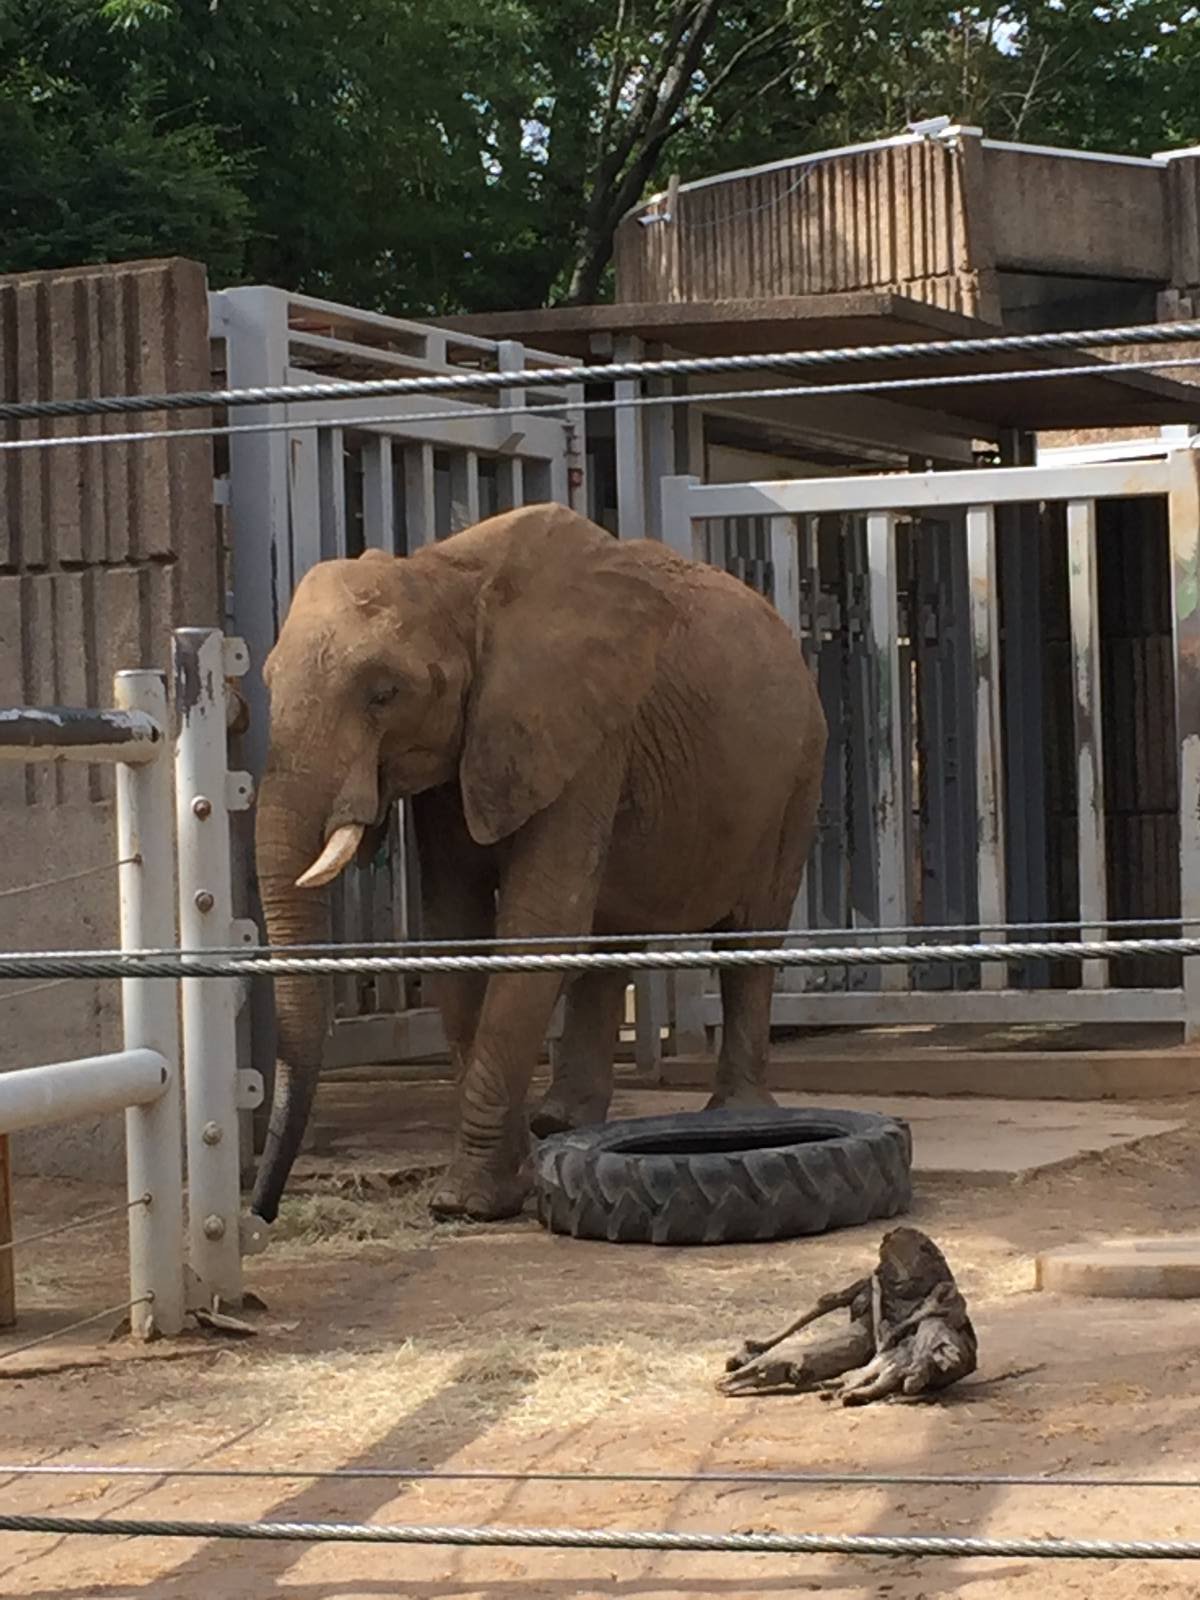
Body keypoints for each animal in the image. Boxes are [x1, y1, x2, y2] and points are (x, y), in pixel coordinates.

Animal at [250, 502, 828, 1226]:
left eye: (384, 693)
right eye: (267, 682)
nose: (261, 1213)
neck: (445, 574)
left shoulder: (580, 730)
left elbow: (536, 921)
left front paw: (468, 1203)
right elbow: (456, 926)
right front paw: (504, 1180)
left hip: (798, 772)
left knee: (751, 931)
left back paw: (733, 1119)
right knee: (611, 934)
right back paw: (564, 1124)